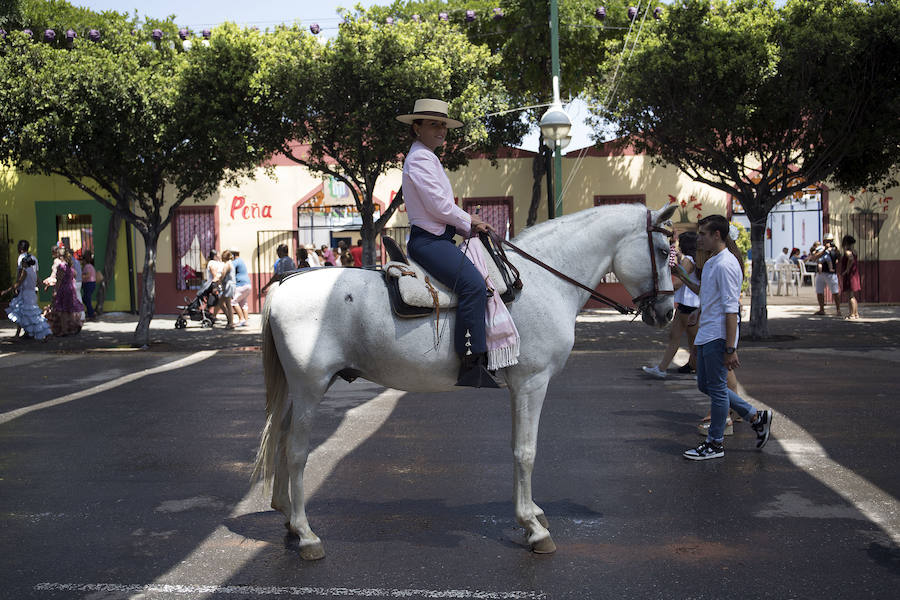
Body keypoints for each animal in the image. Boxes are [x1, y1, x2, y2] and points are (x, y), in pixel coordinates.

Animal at [253, 204, 676, 560]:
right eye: (660, 249)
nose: (668, 312)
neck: (543, 281)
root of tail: (284, 285)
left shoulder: (519, 387)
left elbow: (516, 448)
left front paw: (532, 513)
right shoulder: (532, 383)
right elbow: (526, 451)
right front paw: (533, 528)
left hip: (301, 390)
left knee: (282, 439)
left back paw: (289, 519)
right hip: (309, 387)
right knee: (296, 452)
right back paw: (307, 535)